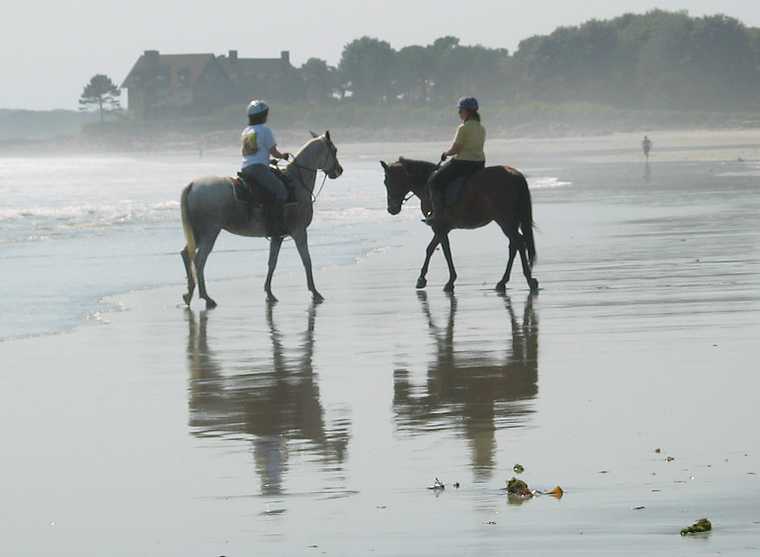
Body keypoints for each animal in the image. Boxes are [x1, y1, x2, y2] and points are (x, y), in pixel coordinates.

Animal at [181, 130, 342, 306]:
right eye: (334, 150)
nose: (339, 170)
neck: (297, 182)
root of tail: (193, 185)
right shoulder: (299, 232)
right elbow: (307, 260)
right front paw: (314, 291)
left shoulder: (277, 236)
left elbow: (272, 263)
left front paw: (269, 293)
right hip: (210, 232)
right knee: (199, 260)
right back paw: (206, 297)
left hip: (197, 232)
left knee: (186, 254)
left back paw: (189, 293)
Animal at [378, 157, 536, 292]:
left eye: (387, 181)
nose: (391, 209)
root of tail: (515, 175)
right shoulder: (442, 228)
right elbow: (435, 249)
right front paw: (427, 279)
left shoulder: (439, 227)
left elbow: (440, 250)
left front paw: (443, 280)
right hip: (510, 221)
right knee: (515, 244)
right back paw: (504, 281)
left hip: (505, 220)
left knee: (518, 243)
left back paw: (527, 279)